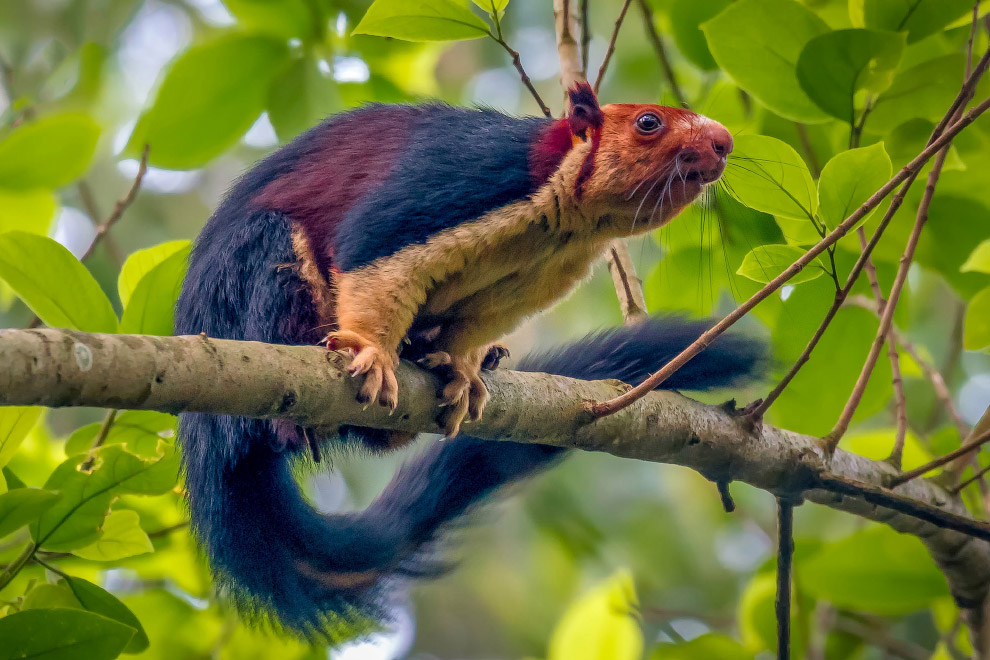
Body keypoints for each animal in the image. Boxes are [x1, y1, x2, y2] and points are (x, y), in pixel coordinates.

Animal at [174, 84, 761, 638]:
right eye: (649, 122)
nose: (724, 142)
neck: (569, 220)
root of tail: (204, 441)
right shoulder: (469, 178)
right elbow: (372, 247)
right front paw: (371, 351)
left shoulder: (539, 276)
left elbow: (476, 323)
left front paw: (462, 369)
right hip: (246, 289)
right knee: (270, 251)